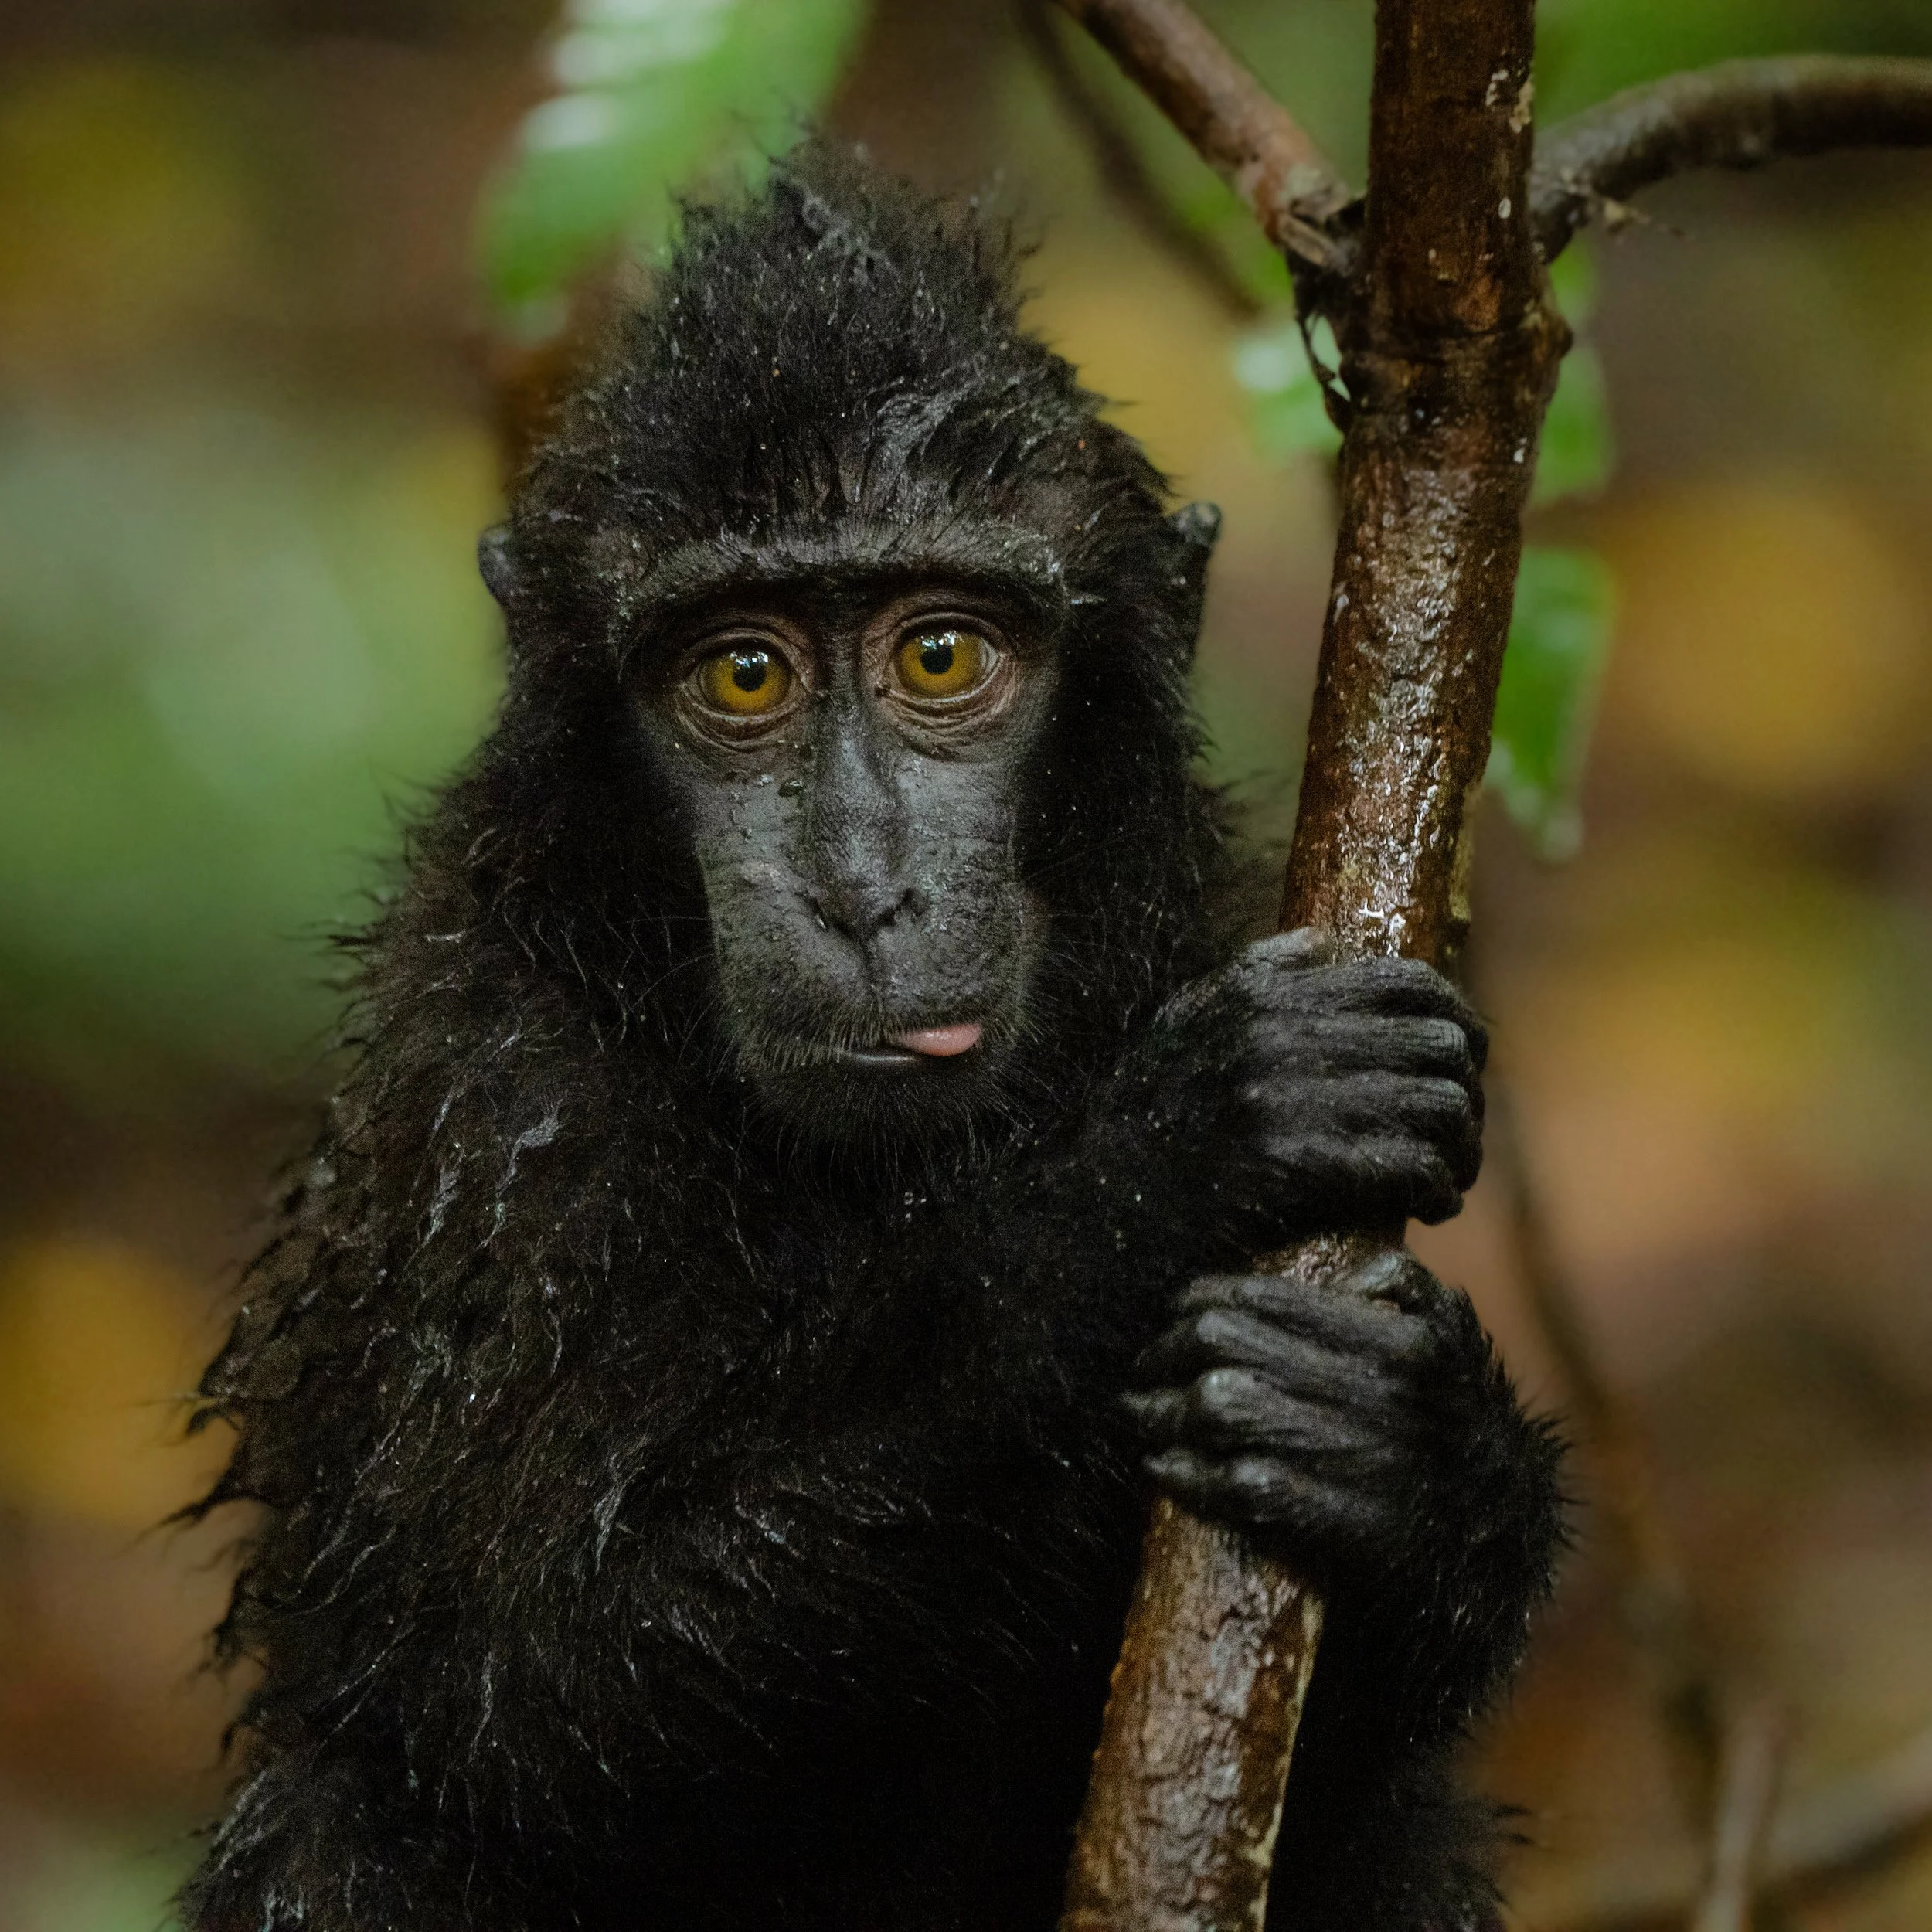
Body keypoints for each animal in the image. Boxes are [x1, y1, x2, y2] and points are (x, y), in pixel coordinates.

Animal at [181, 147, 1563, 1932]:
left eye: (940, 652)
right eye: (741, 674)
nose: (858, 886)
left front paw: (1421, 1460)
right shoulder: (494, 1106)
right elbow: (526, 1688)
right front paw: (1172, 1159)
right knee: (343, 1832)